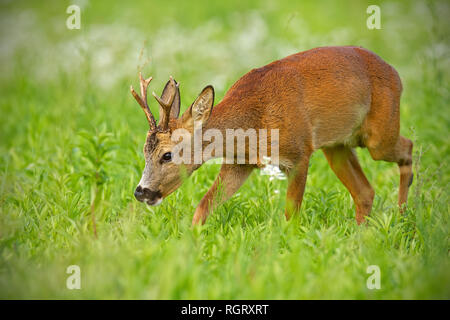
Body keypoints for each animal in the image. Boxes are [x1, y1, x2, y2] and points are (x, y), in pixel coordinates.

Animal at [129, 45, 412, 225]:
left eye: (167, 155)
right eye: (144, 151)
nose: (141, 192)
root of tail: (396, 73)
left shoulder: (299, 154)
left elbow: (291, 214)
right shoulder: (238, 164)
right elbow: (202, 208)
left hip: (378, 136)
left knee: (408, 146)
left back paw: (402, 216)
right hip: (336, 145)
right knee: (365, 192)